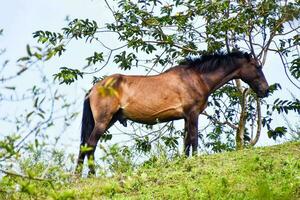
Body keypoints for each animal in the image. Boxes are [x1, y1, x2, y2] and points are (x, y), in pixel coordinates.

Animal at [75, 51, 270, 175]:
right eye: (257, 67)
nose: (265, 90)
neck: (196, 78)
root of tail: (94, 88)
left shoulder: (185, 117)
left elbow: (186, 143)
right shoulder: (193, 114)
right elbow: (194, 139)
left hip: (109, 120)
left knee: (87, 145)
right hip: (103, 121)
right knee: (90, 144)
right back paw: (92, 175)